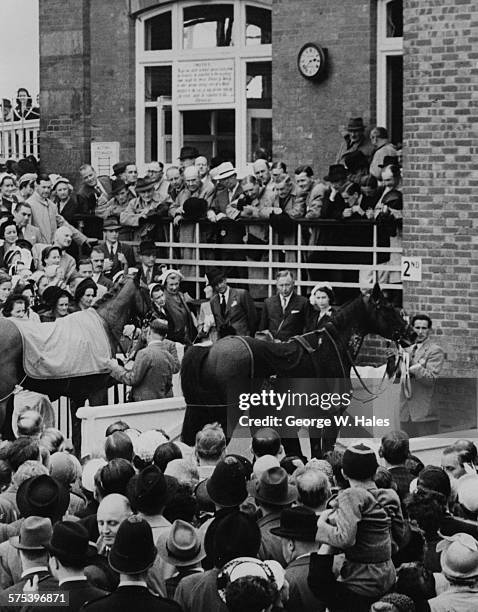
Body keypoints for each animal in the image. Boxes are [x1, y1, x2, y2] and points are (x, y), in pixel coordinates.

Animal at [0, 274, 151, 452]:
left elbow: (78, 435)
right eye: (146, 290)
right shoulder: (97, 392)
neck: (103, 325)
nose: (153, 315)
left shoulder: (76, 396)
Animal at [181, 284, 416, 456]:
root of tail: (210, 349)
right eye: (388, 308)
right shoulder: (332, 416)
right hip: (224, 415)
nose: (412, 333)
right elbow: (325, 452)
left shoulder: (314, 418)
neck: (331, 348)